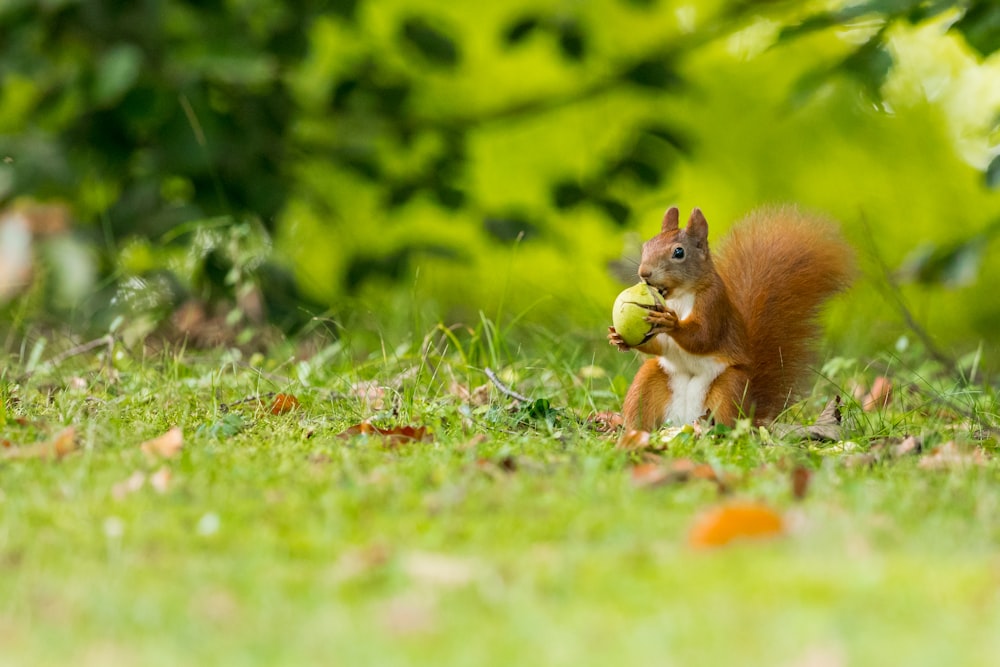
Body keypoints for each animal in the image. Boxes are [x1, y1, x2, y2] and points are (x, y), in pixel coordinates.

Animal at [608, 206, 852, 430]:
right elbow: (658, 346)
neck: (678, 296)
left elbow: (704, 337)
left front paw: (672, 322)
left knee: (728, 420)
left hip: (728, 388)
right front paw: (617, 338)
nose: (644, 273)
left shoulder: (713, 303)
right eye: (646, 246)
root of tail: (685, 420)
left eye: (679, 253)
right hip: (649, 381)